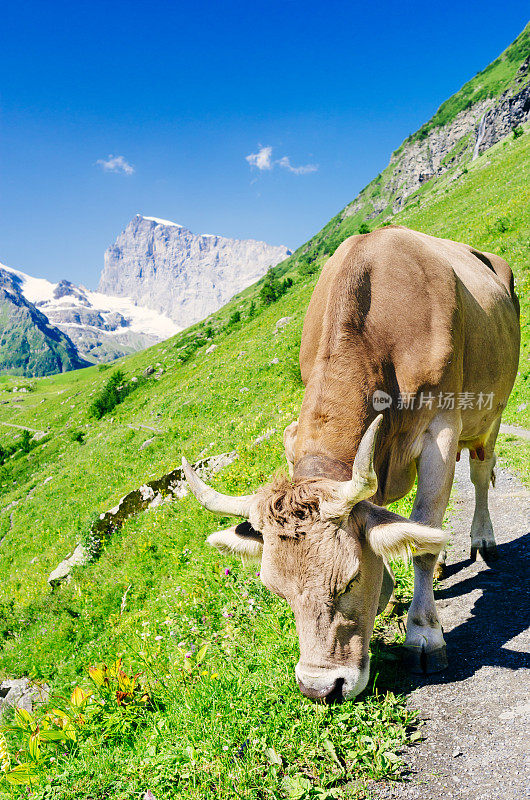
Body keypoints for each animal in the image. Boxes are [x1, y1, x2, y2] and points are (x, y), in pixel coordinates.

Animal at [180, 223, 516, 700]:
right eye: (276, 590)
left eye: (350, 579)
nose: (322, 689)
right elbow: (398, 528)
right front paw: (390, 591)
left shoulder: (441, 430)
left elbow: (421, 539)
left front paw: (423, 635)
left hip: (490, 414)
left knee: (480, 473)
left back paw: (482, 539)